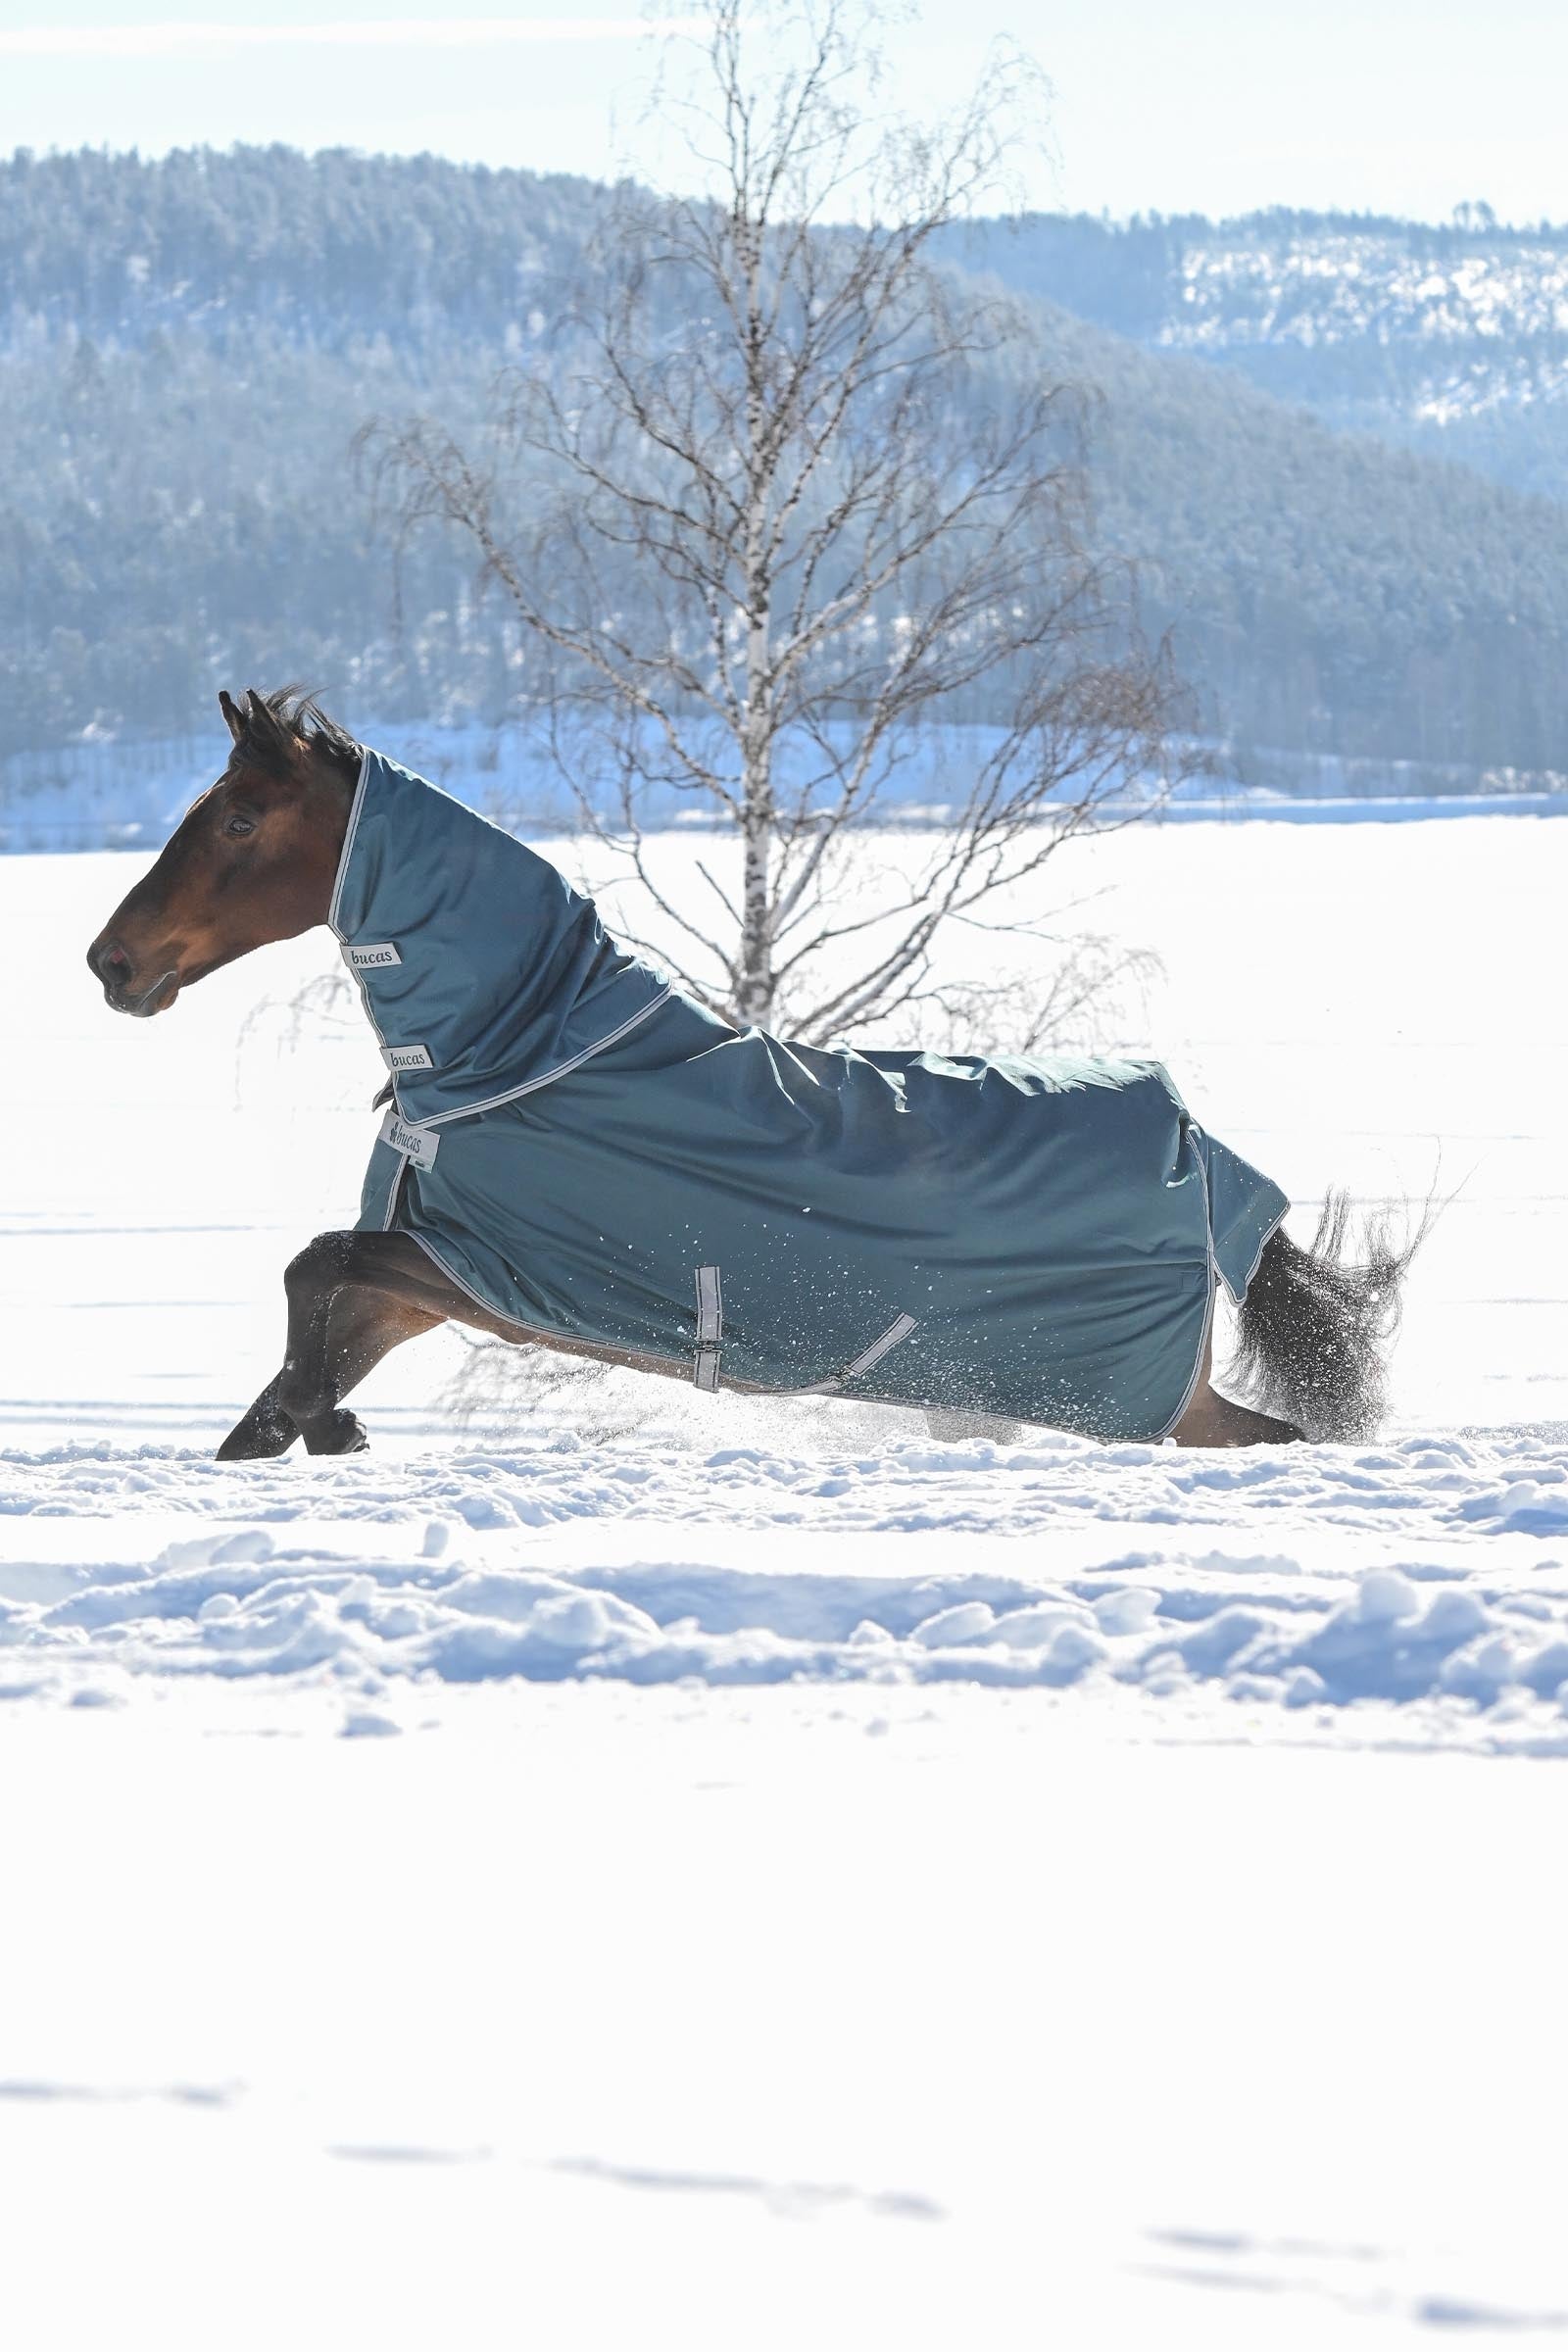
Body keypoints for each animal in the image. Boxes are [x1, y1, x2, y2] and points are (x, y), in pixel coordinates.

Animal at [86, 689, 1414, 1461]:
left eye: (239, 821)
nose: (112, 964)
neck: (519, 1055)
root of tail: (1202, 1151)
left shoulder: (492, 1273)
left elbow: (311, 1264)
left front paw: (331, 1428)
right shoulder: (428, 1282)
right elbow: (299, 1334)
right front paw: (301, 1428)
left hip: (1152, 1400)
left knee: (1267, 1436)